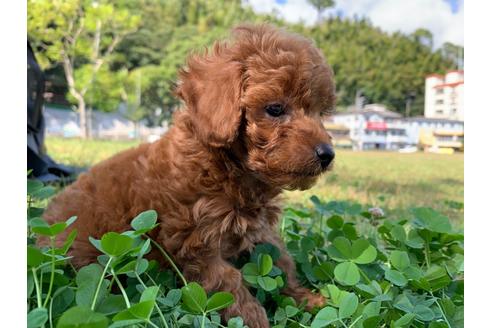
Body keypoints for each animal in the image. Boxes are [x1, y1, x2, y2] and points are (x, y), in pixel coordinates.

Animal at [44, 24, 336, 326]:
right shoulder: (196, 241)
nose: (327, 154)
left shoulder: (260, 230)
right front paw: (254, 317)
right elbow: (228, 281)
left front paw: (306, 298)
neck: (231, 168)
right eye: (275, 109)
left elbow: (282, 261)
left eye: (320, 112)